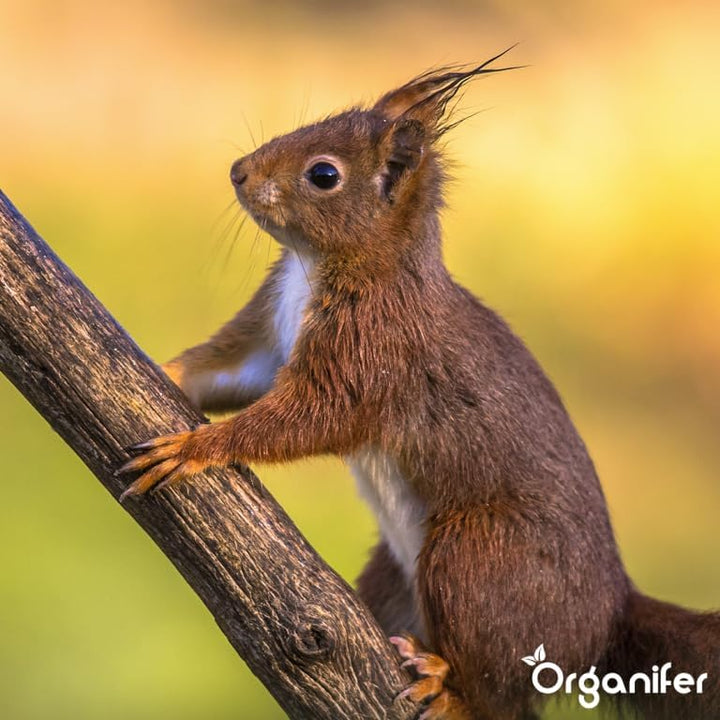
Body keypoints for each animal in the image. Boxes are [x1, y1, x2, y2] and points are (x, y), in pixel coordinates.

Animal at [120, 52, 720, 719]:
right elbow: (232, 369)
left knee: (502, 695)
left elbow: (313, 417)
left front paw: (197, 448)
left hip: (479, 562)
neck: (319, 268)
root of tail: (609, 617)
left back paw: (450, 690)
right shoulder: (271, 333)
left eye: (324, 174)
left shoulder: (375, 351)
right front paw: (161, 369)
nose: (238, 172)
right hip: (395, 578)